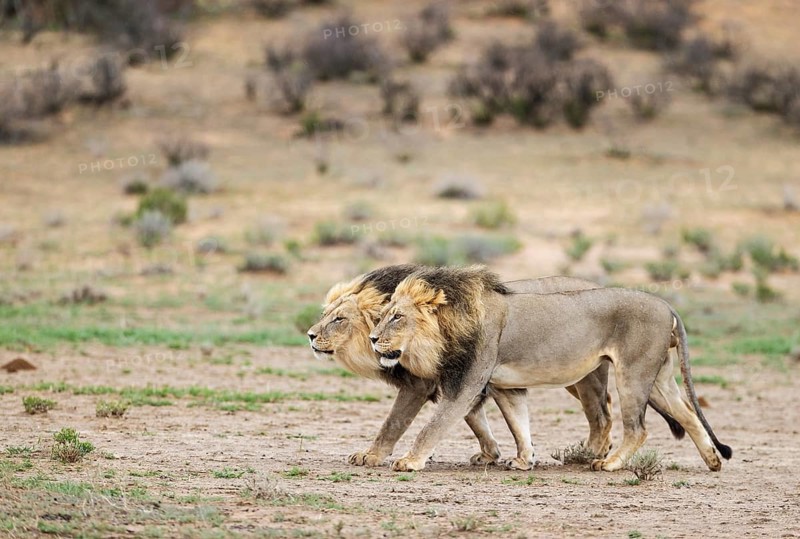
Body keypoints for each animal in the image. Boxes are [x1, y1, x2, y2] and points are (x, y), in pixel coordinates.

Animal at [308, 264, 616, 469]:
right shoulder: (461, 379)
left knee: (600, 413)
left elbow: (396, 422)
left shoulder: (421, 385)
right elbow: (474, 419)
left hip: (580, 376)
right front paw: (491, 453)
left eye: (339, 319)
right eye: (325, 315)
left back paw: (590, 454)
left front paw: (373, 455)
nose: (310, 335)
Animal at [369, 265, 732, 473]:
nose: (373, 339)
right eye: (383, 314)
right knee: (687, 413)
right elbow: (519, 424)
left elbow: (433, 425)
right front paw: (524, 460)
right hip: (657, 377)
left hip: (632, 372)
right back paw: (713, 460)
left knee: (638, 428)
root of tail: (667, 304)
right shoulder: (507, 387)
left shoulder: (467, 384)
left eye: (397, 316)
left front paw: (409, 461)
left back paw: (610, 463)